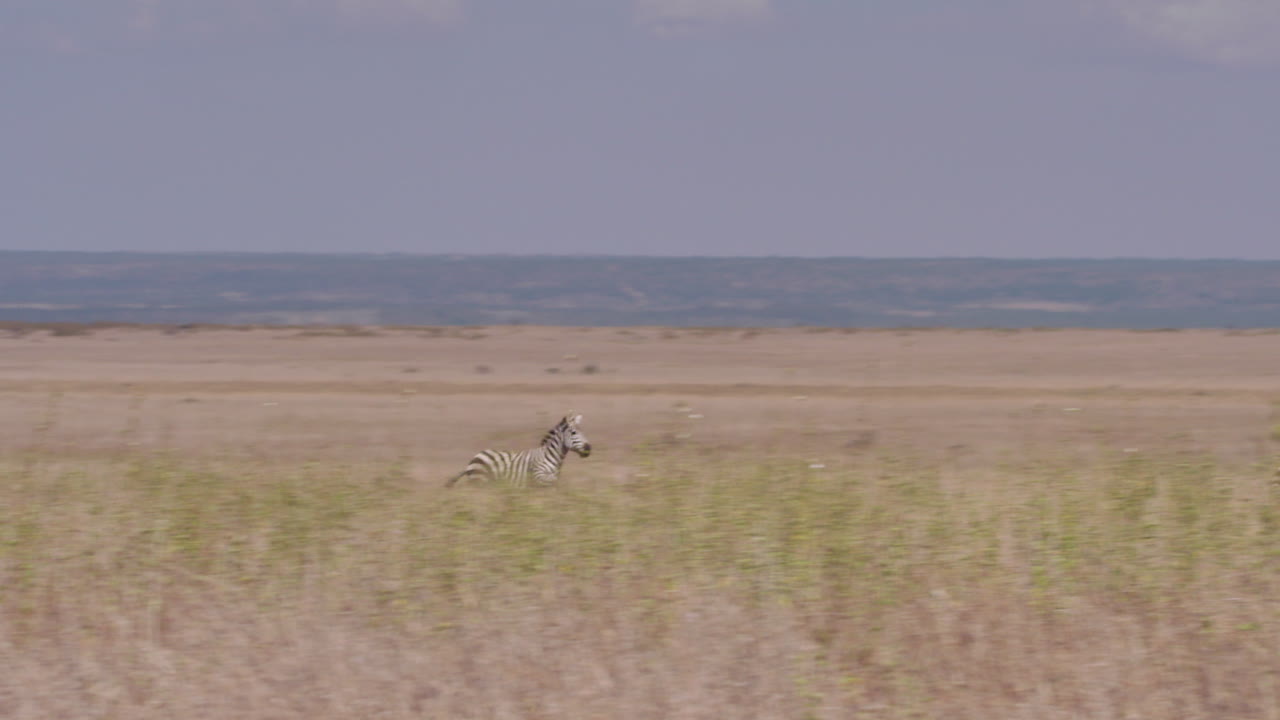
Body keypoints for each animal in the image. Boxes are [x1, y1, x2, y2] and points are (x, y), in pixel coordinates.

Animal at [445, 413, 592, 488]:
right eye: (573, 432)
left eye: (582, 431)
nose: (589, 448)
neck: (551, 457)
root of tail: (474, 458)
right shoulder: (537, 475)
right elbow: (555, 481)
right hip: (481, 480)